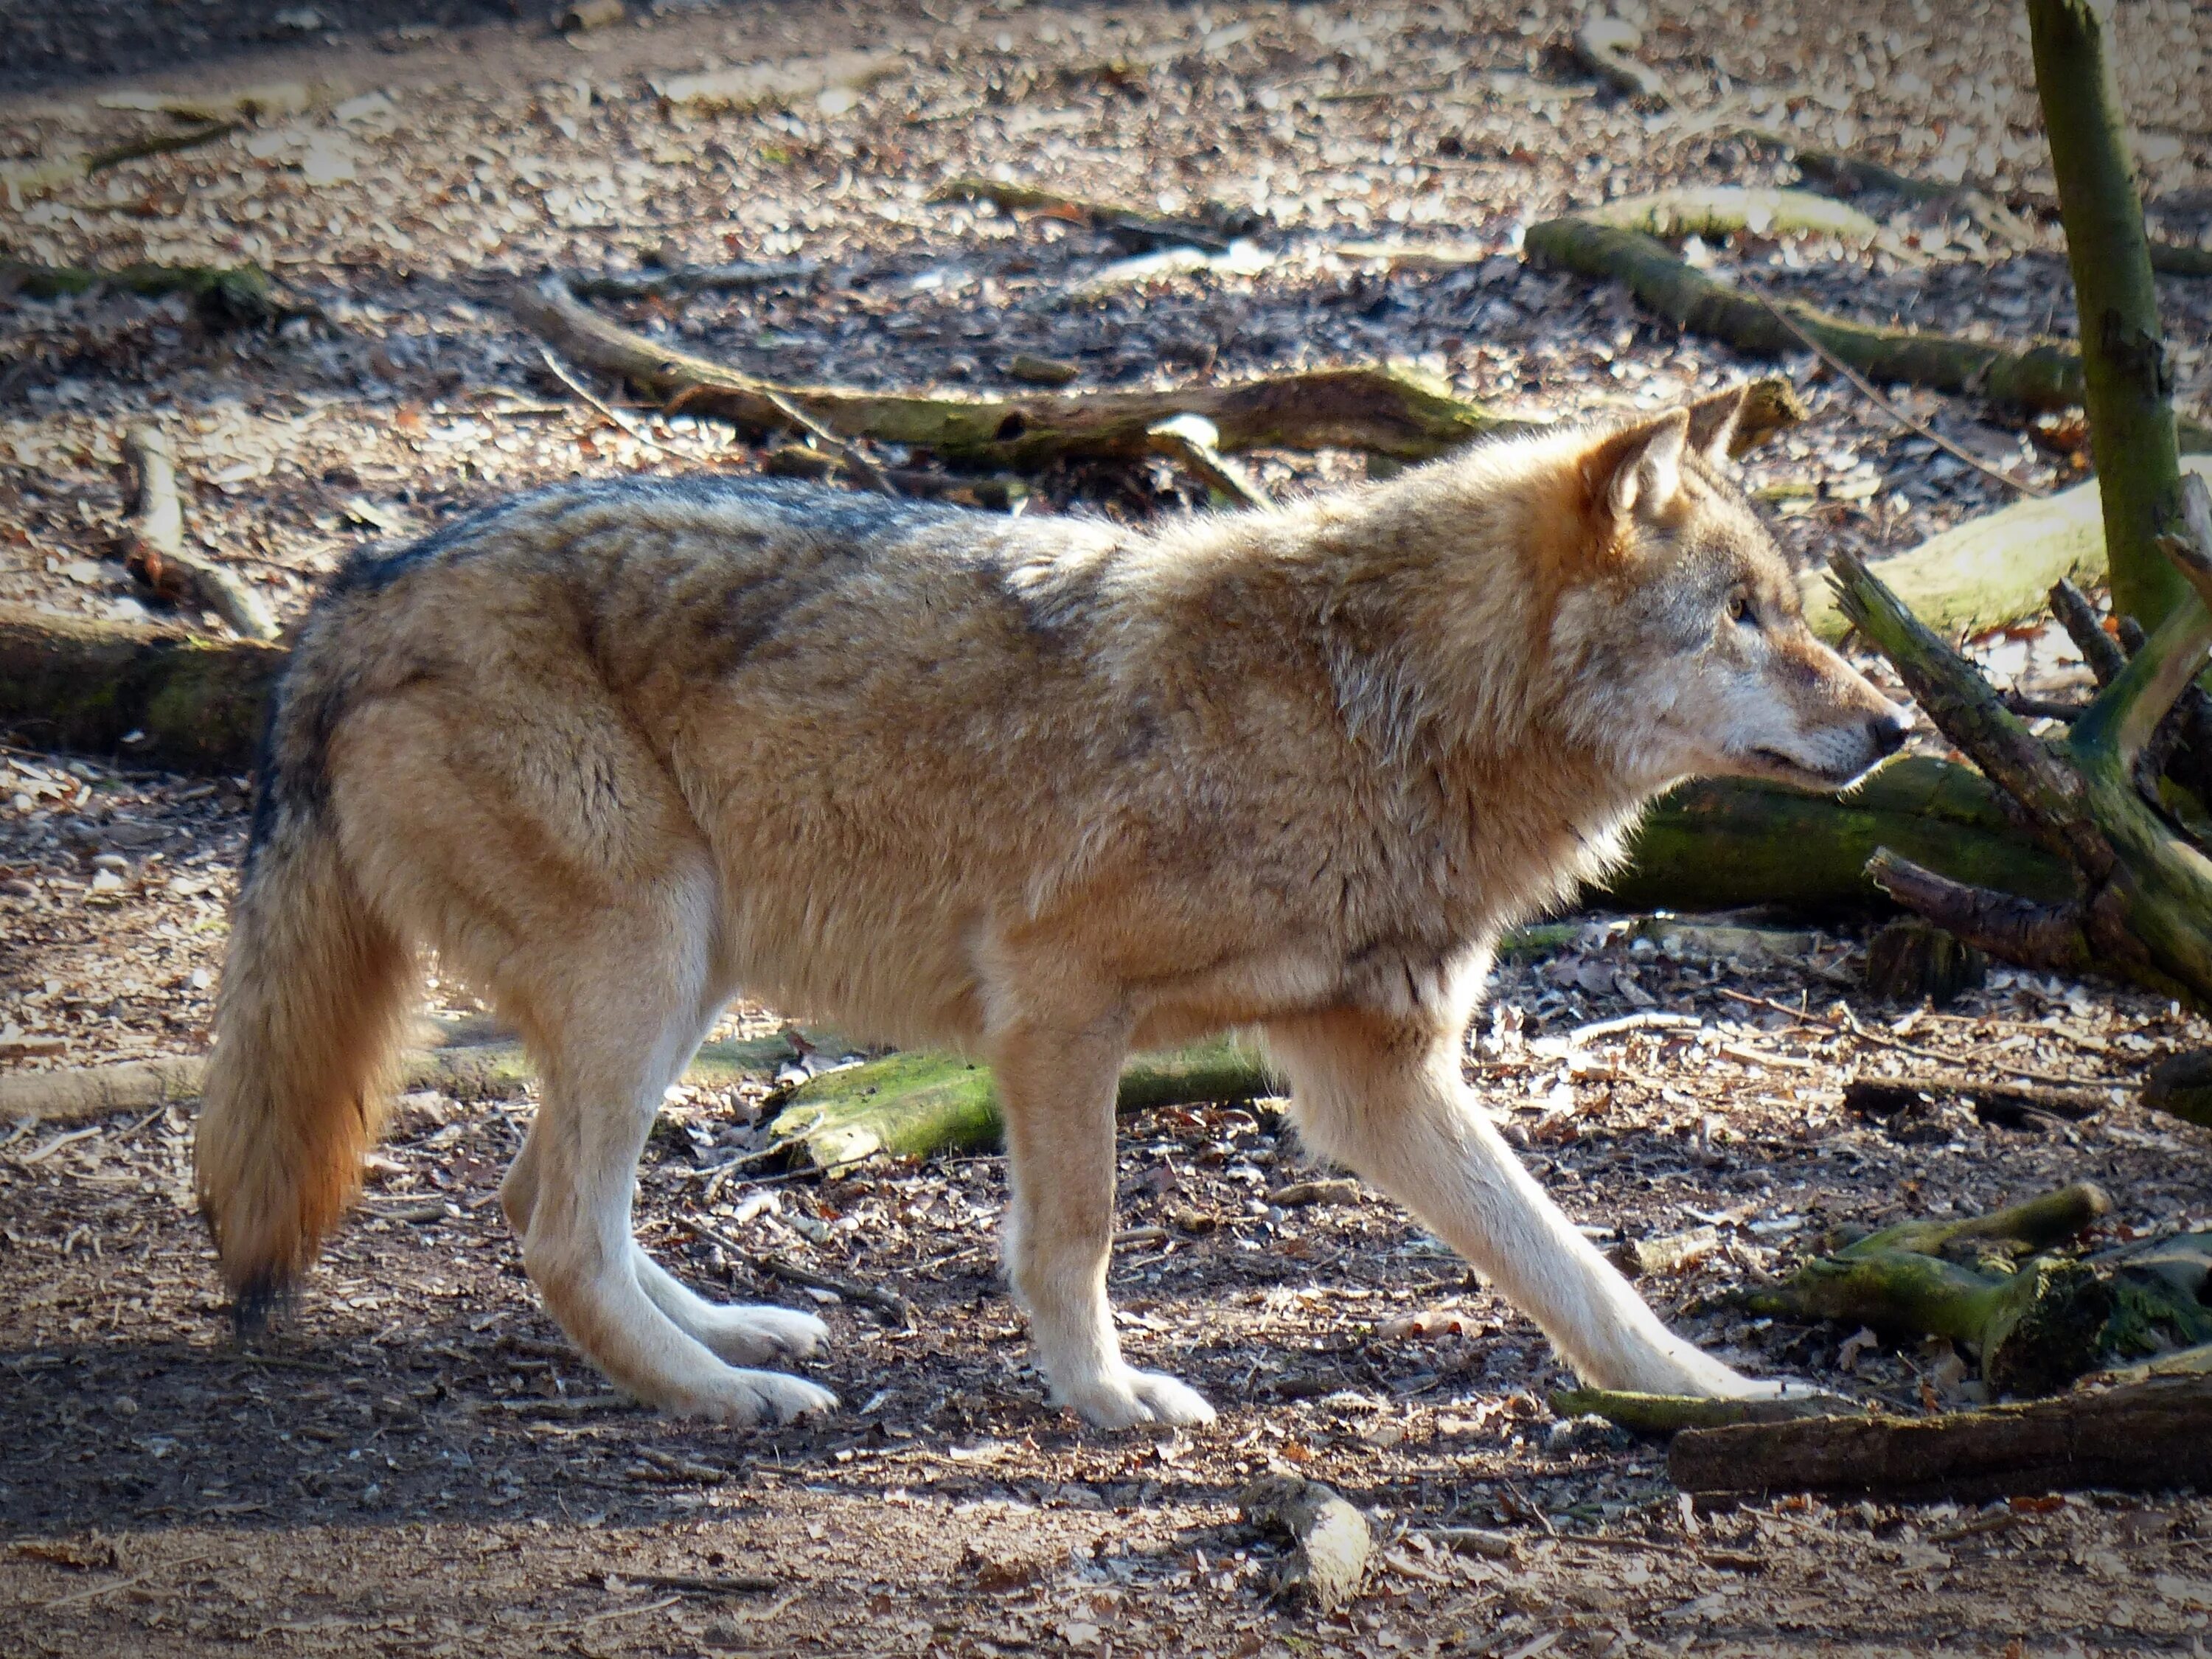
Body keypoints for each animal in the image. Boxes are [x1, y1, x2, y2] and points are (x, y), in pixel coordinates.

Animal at [199, 387, 1911, 1433]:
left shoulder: (1375, 1076)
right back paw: (725, 1398)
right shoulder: (1057, 1003)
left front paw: (1709, 1395)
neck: (1381, 704)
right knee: (559, 1231)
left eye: (1797, 614)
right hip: (654, 967)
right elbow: (1078, 1232)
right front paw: (1106, 1402)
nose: (1898, 727)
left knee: (532, 1206)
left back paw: (738, 1338)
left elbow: (1574, 1267)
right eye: (1741, 619)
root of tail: (351, 593)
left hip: (677, 987)